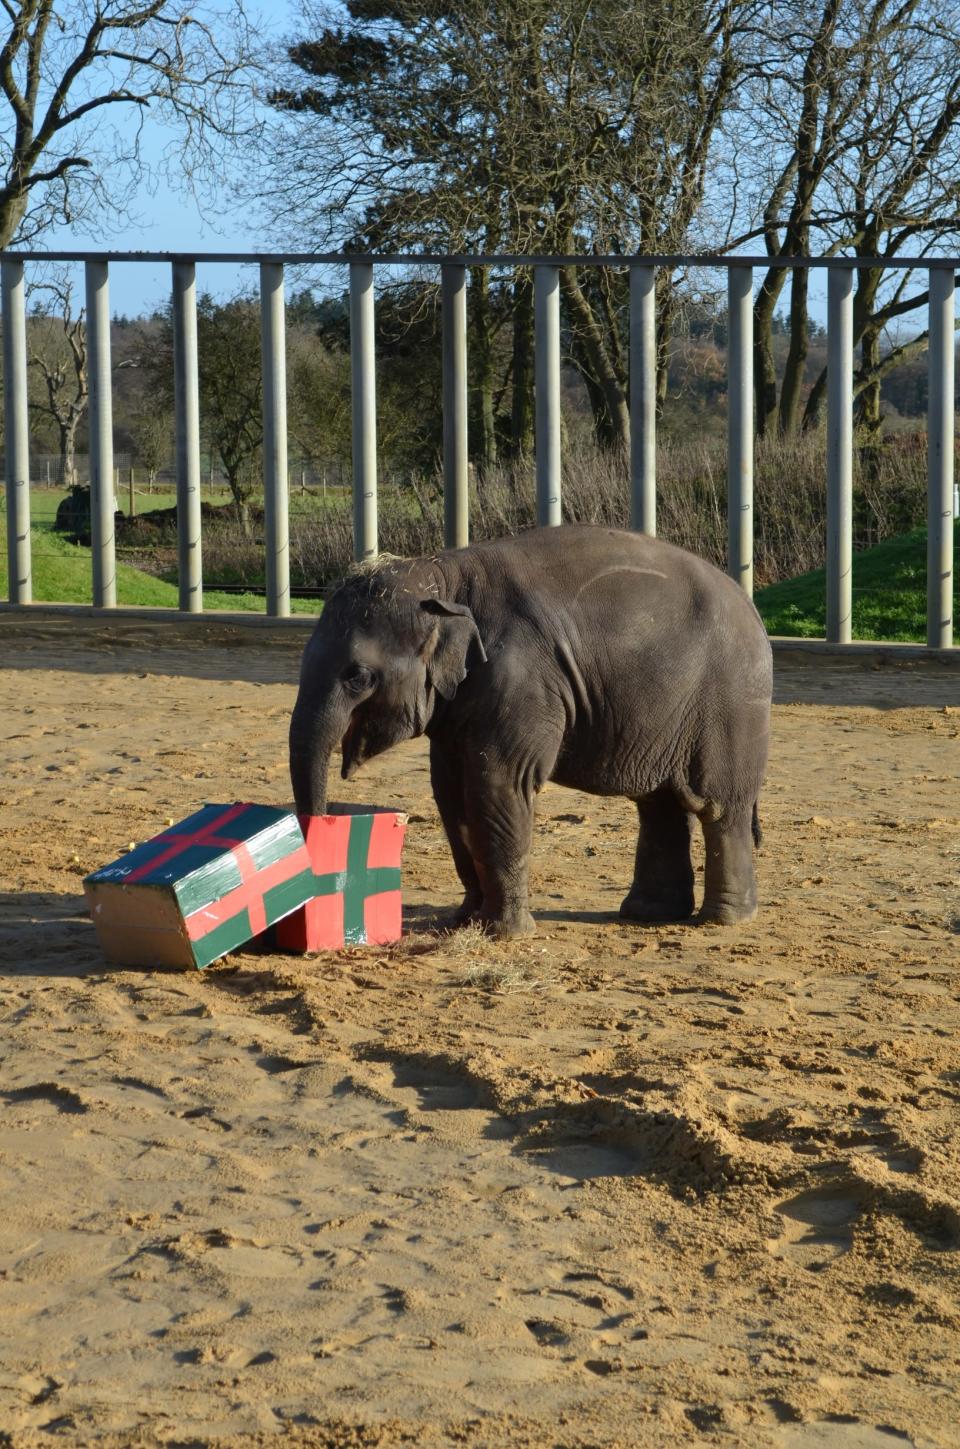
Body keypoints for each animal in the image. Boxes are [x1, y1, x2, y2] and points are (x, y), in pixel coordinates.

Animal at [286, 521, 776, 938]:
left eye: (358, 677)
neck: (445, 574)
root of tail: (752, 608)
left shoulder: (521, 678)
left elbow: (499, 781)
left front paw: (503, 933)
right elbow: (450, 790)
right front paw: (463, 921)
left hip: (732, 704)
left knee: (718, 806)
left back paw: (724, 920)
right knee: (659, 806)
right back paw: (647, 914)